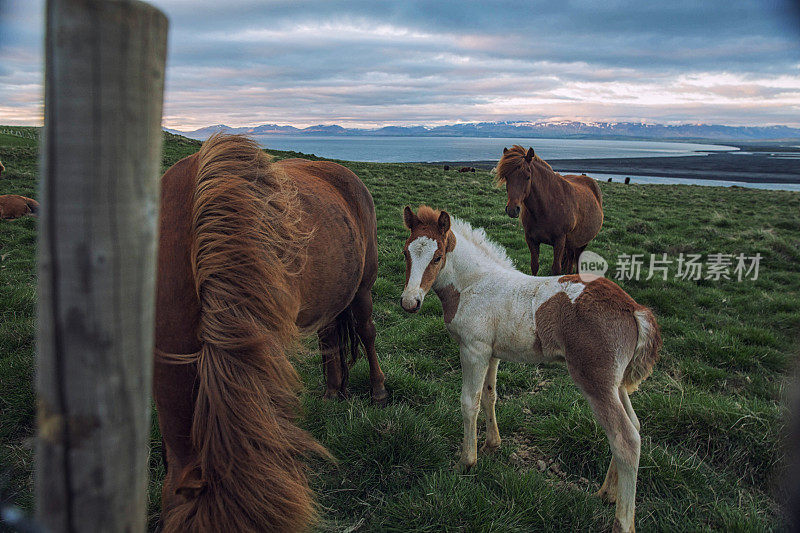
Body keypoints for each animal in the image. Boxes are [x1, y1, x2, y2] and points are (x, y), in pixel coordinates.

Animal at [404, 205, 660, 532]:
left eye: (437, 257)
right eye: (406, 253)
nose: (410, 302)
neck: (474, 284)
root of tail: (633, 308)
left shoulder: (473, 350)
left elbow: (469, 402)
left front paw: (466, 461)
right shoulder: (492, 353)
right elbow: (490, 396)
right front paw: (492, 444)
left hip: (596, 382)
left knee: (625, 439)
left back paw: (622, 521)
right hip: (616, 384)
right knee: (635, 426)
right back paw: (607, 493)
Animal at [496, 148, 604, 276]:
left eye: (528, 177)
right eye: (507, 177)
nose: (512, 209)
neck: (546, 208)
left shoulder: (559, 241)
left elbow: (556, 269)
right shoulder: (531, 240)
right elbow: (534, 266)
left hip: (582, 243)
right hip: (571, 244)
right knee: (570, 261)